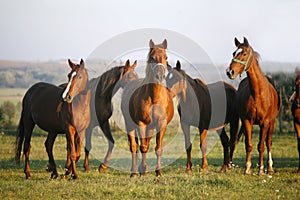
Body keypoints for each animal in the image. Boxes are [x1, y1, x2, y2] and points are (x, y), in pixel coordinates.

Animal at [121, 39, 175, 177]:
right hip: (130, 124)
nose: (160, 75)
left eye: (166, 57)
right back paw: (134, 172)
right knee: (134, 147)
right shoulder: (141, 123)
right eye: (152, 58)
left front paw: (158, 172)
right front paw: (142, 170)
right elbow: (143, 147)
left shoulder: (161, 124)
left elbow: (158, 148)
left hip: (151, 127)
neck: (154, 98)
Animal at [226, 37, 280, 175]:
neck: (258, 94)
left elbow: (261, 146)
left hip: (272, 122)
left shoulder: (265, 123)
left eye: (244, 53)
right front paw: (247, 168)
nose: (230, 72)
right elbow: (248, 145)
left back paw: (270, 167)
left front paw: (261, 169)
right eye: (233, 53)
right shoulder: (246, 121)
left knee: (268, 142)